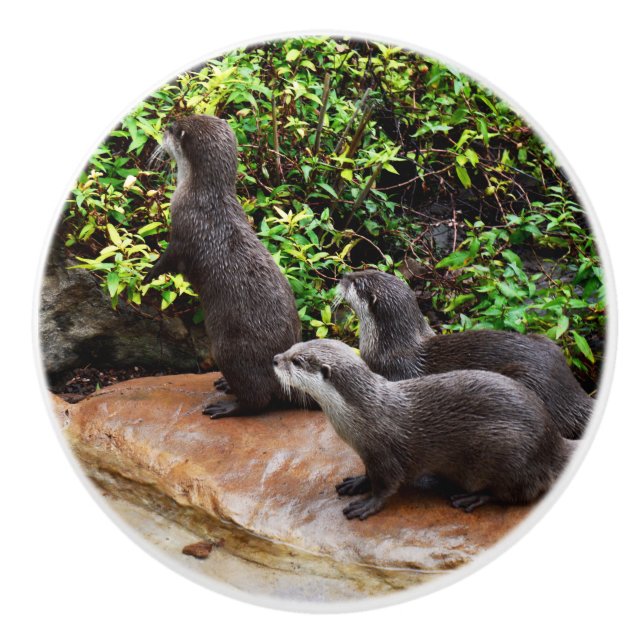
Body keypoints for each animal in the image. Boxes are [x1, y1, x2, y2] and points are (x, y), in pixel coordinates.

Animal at [143, 115, 302, 418]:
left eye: (173, 128)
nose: (164, 124)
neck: (202, 199)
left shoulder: (183, 233)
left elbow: (168, 261)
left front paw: (147, 277)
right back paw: (224, 384)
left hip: (228, 350)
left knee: (258, 400)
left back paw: (226, 405)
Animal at [273, 339, 575, 520]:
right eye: (293, 346)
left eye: (297, 361)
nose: (275, 358)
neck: (364, 414)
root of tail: (554, 442)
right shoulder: (369, 454)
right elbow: (369, 474)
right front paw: (357, 482)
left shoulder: (385, 453)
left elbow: (388, 485)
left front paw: (368, 504)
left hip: (508, 452)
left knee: (514, 493)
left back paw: (471, 497)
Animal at [339, 269, 593, 439]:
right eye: (365, 269)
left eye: (356, 283)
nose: (343, 276)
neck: (388, 345)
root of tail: (572, 394)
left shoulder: (397, 371)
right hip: (547, 341)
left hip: (529, 380)